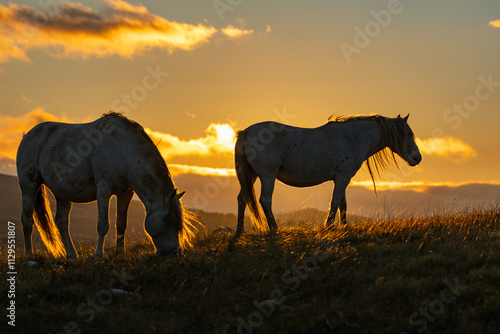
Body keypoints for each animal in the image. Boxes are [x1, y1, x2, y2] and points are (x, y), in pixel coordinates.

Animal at [16, 112, 194, 258]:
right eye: (170, 221)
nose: (175, 251)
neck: (121, 149)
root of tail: (27, 136)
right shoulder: (103, 190)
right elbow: (103, 225)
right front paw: (98, 255)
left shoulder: (125, 193)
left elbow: (121, 223)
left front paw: (120, 252)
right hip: (29, 187)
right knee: (27, 221)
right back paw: (29, 255)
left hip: (62, 193)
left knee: (61, 222)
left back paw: (72, 255)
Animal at [234, 113, 422, 234]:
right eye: (408, 134)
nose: (417, 158)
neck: (352, 138)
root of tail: (246, 132)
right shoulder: (342, 177)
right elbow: (335, 202)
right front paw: (330, 226)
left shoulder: (341, 179)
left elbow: (343, 204)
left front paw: (344, 227)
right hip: (268, 176)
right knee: (265, 200)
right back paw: (274, 229)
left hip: (251, 176)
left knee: (242, 198)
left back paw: (239, 231)